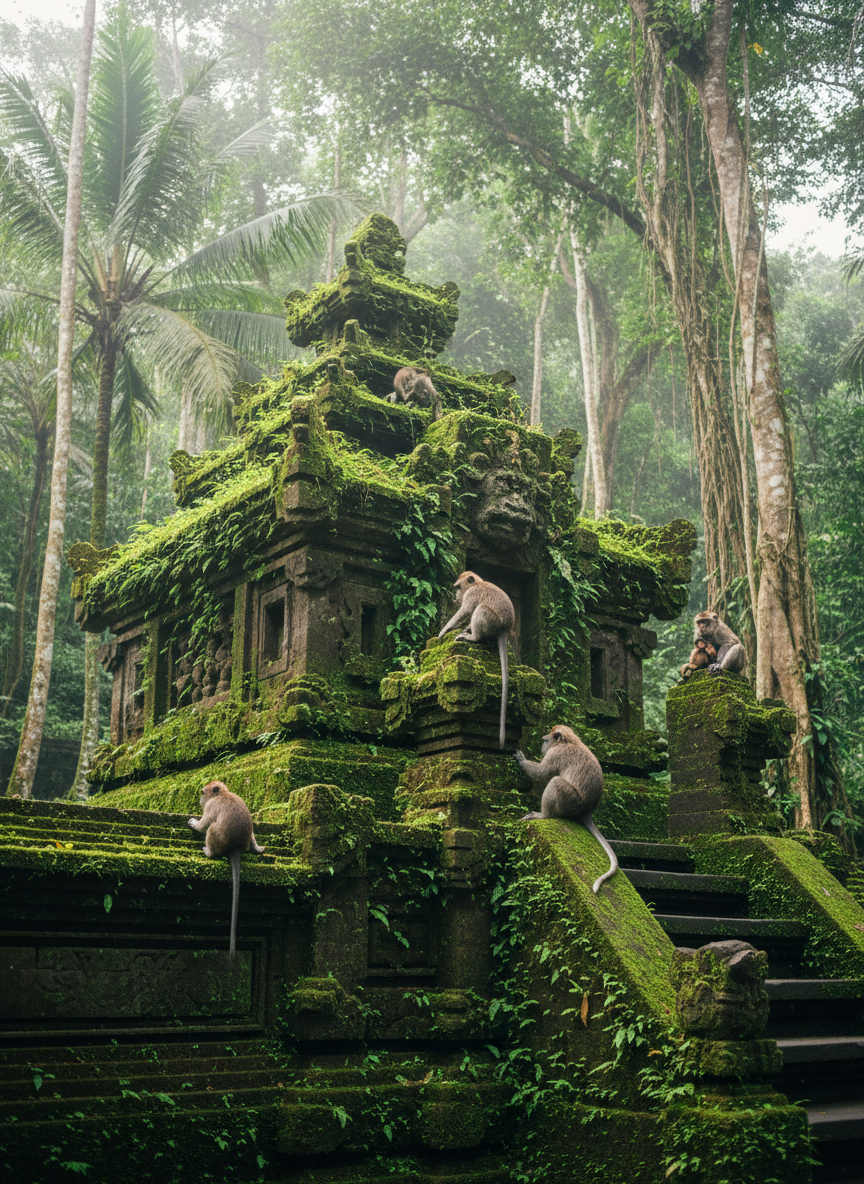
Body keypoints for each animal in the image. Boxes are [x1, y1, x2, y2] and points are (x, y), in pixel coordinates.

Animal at [188, 781, 265, 956]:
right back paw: (258, 849)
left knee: (210, 827)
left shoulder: (211, 806)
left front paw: (193, 823)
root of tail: (235, 847)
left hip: (217, 838)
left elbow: (203, 824)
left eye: (202, 793)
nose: (200, 801)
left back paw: (209, 852)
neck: (223, 794)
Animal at [438, 571, 515, 750]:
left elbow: (464, 611)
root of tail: (504, 629)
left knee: (480, 609)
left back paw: (473, 637)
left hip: (492, 622)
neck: (477, 584)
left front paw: (444, 630)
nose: (456, 597)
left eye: (458, 587)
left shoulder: (471, 595)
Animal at [516, 726, 618, 894]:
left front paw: (521, 759)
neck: (570, 741)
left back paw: (543, 815)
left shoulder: (556, 753)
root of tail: (587, 812)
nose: (543, 739)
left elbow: (540, 774)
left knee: (556, 781)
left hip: (570, 802)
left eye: (546, 739)